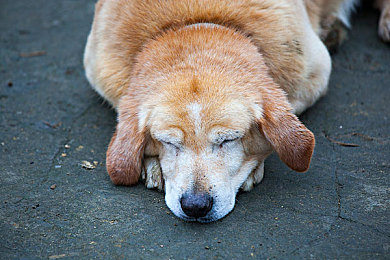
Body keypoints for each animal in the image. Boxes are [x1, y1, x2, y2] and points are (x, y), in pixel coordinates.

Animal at [83, 0, 390, 223]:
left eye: (229, 140)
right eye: (168, 142)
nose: (196, 206)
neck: (196, 26)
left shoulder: (315, 72)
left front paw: (254, 166)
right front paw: (154, 164)